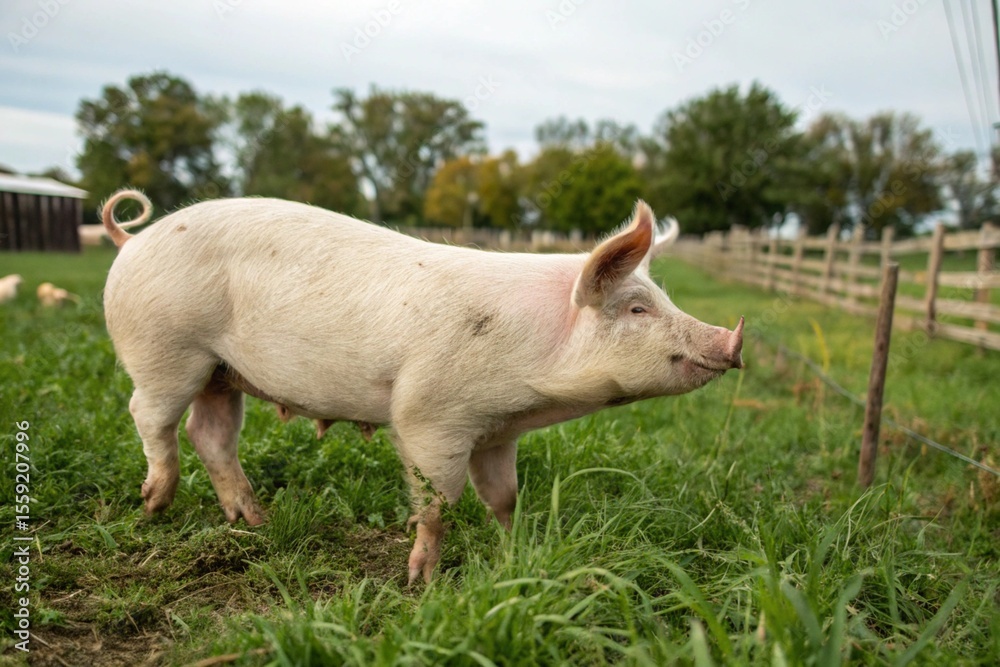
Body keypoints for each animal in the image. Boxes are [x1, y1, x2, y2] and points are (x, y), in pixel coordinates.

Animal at [101, 189, 744, 583]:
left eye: (661, 299)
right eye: (637, 309)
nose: (731, 340)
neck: (533, 391)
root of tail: (133, 240)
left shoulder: (496, 431)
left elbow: (504, 496)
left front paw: (518, 550)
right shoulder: (431, 416)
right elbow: (437, 502)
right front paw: (422, 579)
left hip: (220, 372)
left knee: (211, 433)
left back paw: (253, 521)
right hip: (167, 351)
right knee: (149, 415)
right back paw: (153, 504)